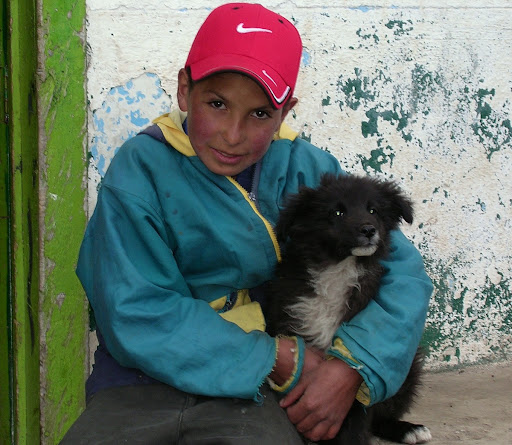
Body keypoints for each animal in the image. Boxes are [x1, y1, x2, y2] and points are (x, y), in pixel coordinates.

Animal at [266, 173, 430, 444]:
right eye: (337, 212)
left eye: (373, 210)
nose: (369, 230)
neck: (338, 268)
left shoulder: (350, 381)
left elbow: (355, 425)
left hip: (408, 368)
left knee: (379, 416)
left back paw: (407, 429)